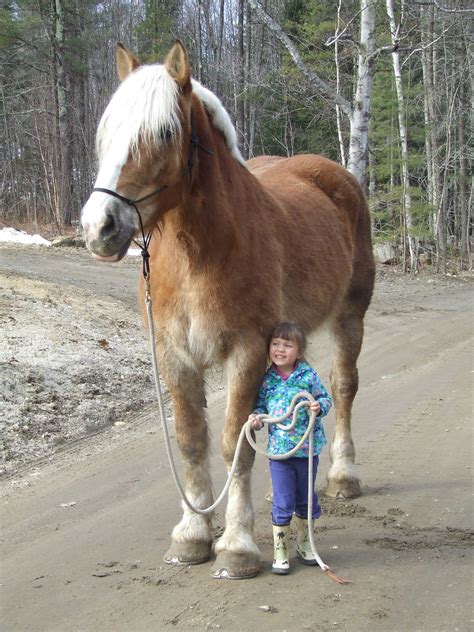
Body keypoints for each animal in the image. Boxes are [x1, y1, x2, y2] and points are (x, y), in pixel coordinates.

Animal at [83, 42, 376, 580]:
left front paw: (237, 546)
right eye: (107, 130)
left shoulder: (248, 352)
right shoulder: (174, 356)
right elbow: (192, 441)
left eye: (164, 132)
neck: (200, 253)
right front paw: (193, 534)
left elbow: (234, 446)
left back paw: (343, 476)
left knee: (343, 388)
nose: (100, 228)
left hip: (351, 317)